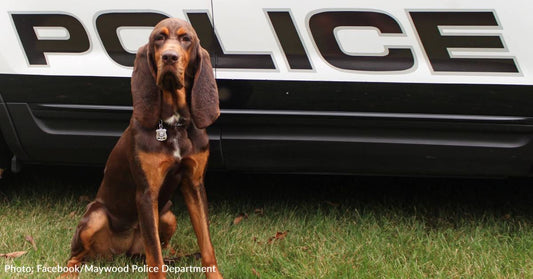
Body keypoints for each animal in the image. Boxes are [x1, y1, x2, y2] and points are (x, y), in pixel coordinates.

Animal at [64, 18, 222, 279]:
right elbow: (155, 260)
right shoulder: (147, 194)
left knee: (158, 248)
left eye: (186, 39)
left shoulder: (195, 184)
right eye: (159, 38)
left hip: (168, 215)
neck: (173, 124)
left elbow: (207, 246)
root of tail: (120, 252)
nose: (169, 57)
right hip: (95, 216)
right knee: (75, 257)